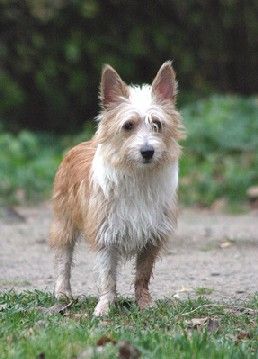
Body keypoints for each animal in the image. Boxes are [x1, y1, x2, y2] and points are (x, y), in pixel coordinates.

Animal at [49, 63, 184, 316]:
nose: (147, 151)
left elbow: (142, 275)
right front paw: (105, 307)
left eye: (157, 124)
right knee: (64, 259)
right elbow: (107, 277)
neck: (138, 177)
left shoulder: (152, 236)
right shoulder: (105, 235)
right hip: (64, 222)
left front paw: (145, 303)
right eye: (128, 125)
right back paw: (63, 293)